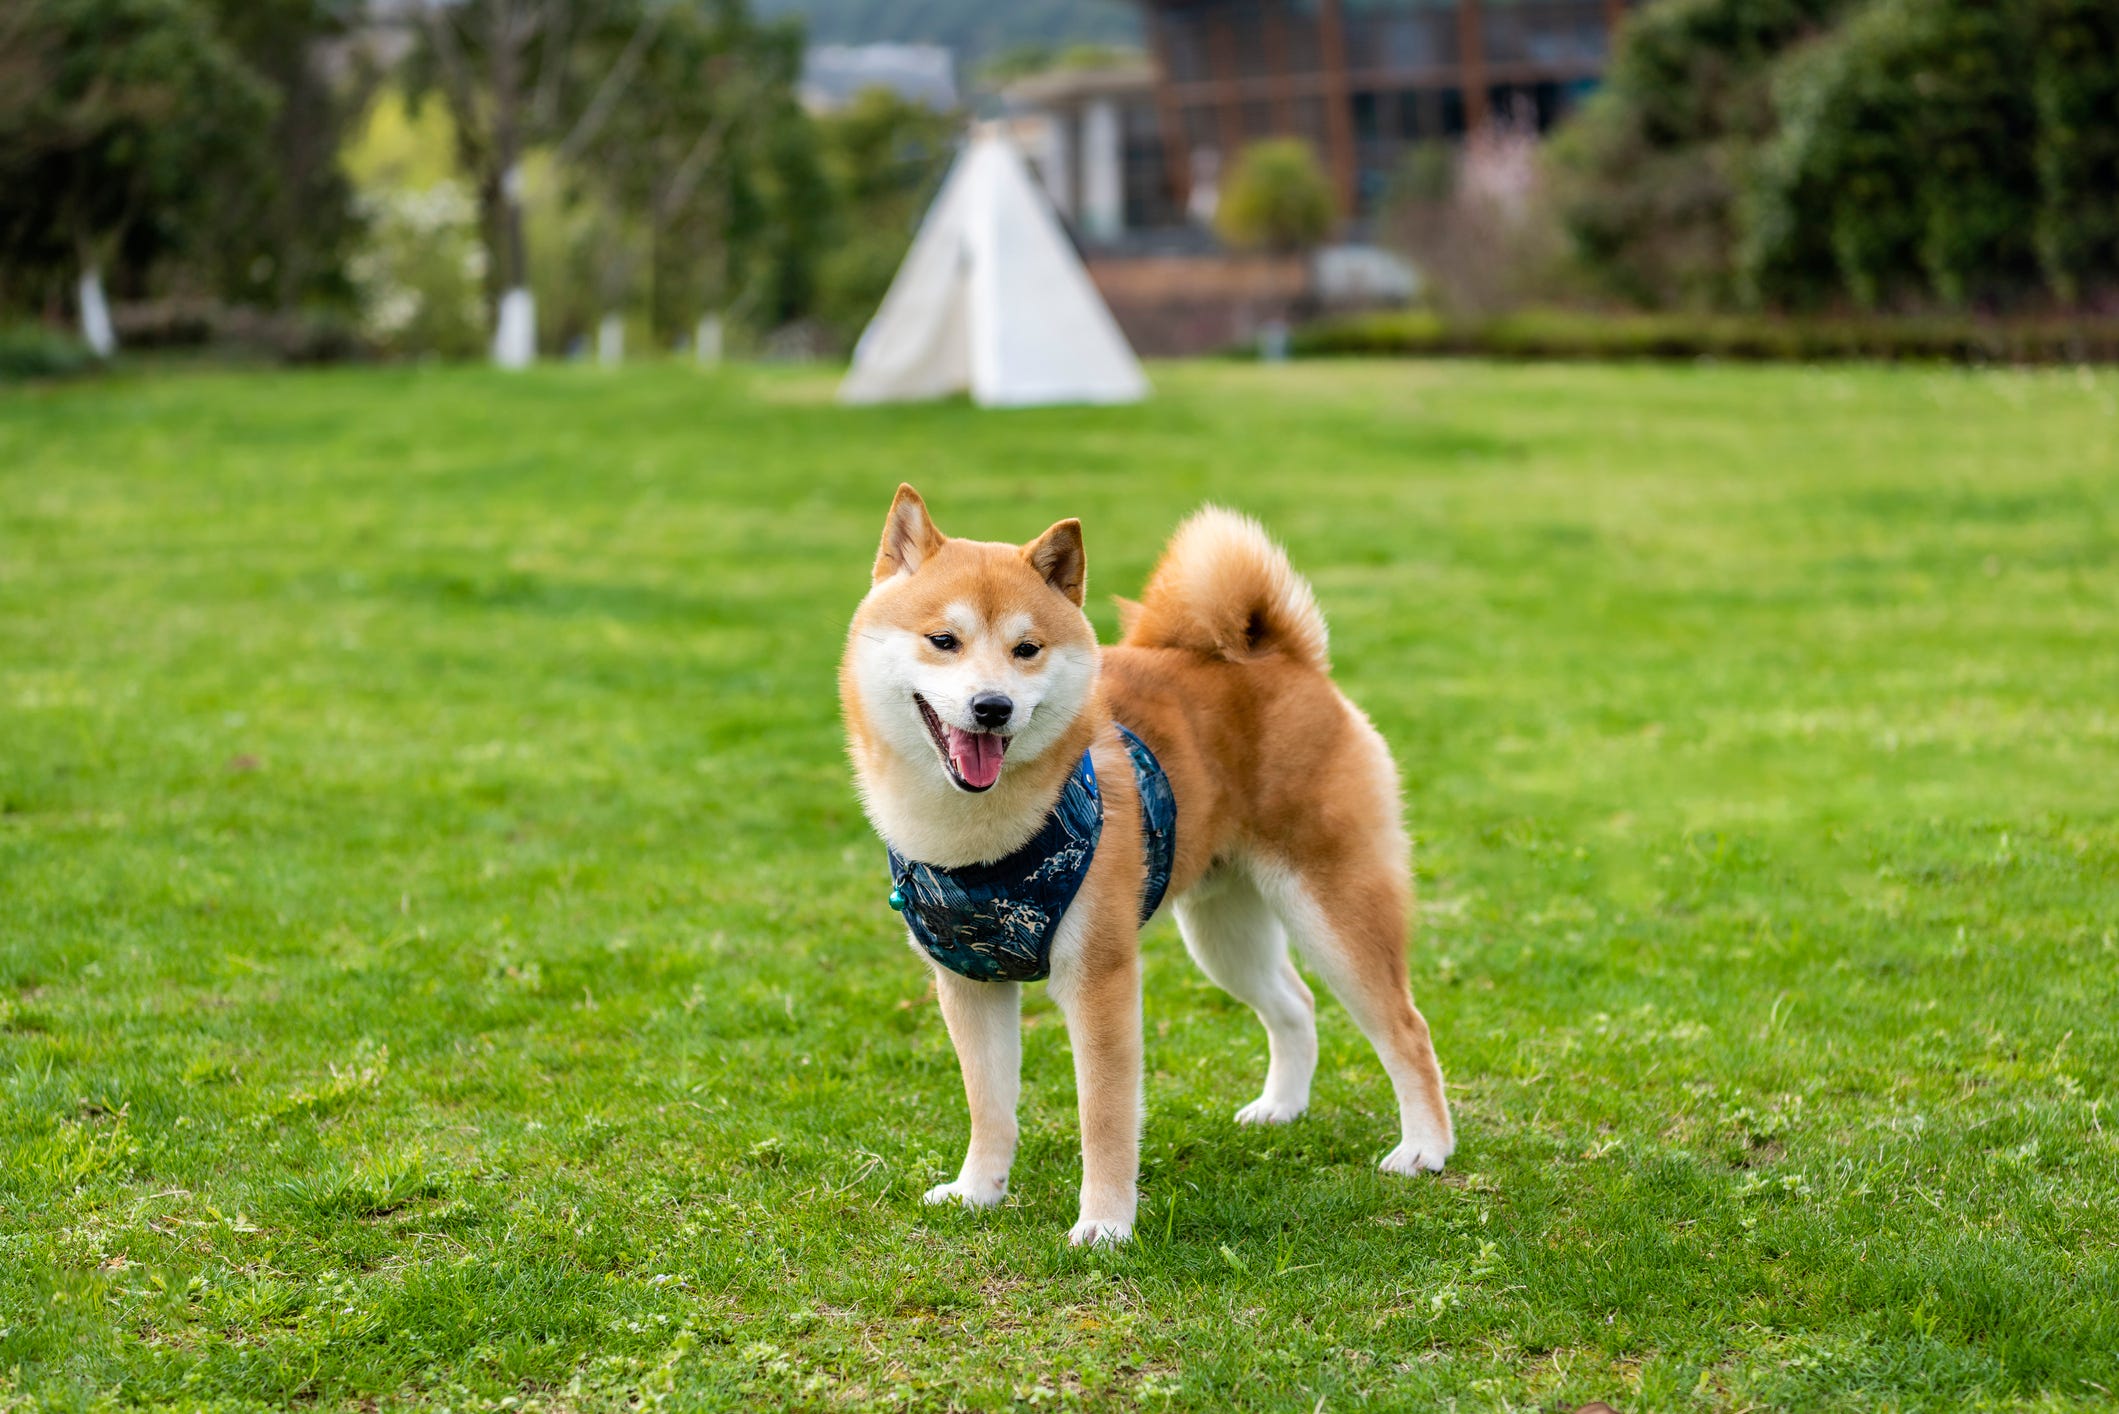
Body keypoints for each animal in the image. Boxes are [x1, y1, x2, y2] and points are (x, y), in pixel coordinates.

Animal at [834, 489, 1449, 1246]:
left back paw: (1425, 1149)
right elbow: (990, 1107)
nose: (992, 707)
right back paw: (1281, 1108)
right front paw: (978, 1191)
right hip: (1224, 934)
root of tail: (1281, 655)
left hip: (1333, 910)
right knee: (1294, 1004)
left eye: (1026, 649)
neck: (980, 849)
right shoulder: (969, 978)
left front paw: (1104, 1224)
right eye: (942, 640)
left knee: (1406, 1028)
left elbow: (1104, 1117)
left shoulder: (1099, 978)